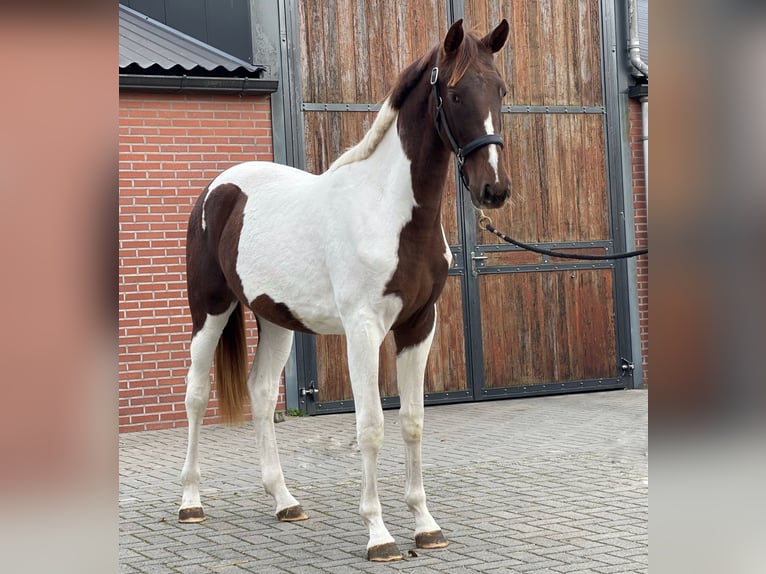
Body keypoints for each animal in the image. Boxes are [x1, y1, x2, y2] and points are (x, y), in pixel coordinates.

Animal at [179, 18, 512, 564]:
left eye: (501, 90)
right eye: (456, 93)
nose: (495, 190)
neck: (390, 213)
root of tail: (219, 188)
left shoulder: (419, 326)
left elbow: (413, 422)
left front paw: (425, 525)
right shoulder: (363, 330)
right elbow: (371, 427)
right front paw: (379, 534)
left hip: (276, 320)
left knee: (261, 391)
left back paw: (285, 501)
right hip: (210, 310)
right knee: (196, 393)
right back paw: (190, 502)